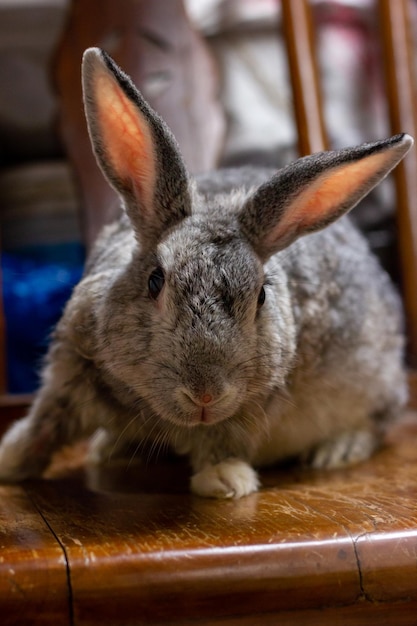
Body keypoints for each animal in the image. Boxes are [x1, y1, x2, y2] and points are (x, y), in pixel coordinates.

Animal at [0, 47, 412, 498]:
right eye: (155, 281)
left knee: (379, 421)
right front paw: (10, 462)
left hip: (375, 382)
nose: (205, 394)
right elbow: (44, 422)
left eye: (261, 296)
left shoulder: (245, 410)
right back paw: (109, 448)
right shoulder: (66, 375)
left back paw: (337, 450)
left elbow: (220, 441)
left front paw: (225, 480)